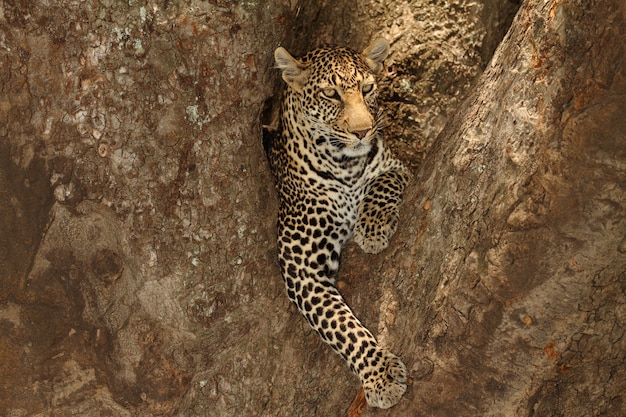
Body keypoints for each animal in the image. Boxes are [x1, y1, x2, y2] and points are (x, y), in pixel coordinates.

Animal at [266, 37, 410, 408]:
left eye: (368, 88)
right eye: (331, 94)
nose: (362, 131)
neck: (344, 166)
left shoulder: (395, 166)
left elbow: (382, 183)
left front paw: (372, 228)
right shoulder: (301, 266)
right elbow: (341, 324)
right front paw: (380, 375)